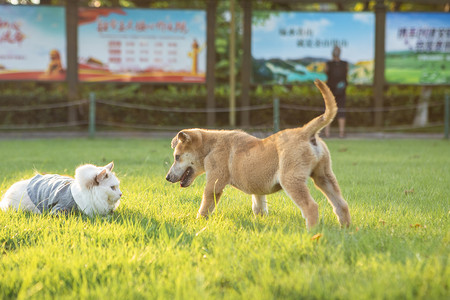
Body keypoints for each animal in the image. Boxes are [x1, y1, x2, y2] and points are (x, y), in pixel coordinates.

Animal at [166, 78, 352, 229]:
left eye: (177, 157)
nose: (167, 178)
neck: (210, 146)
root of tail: (305, 132)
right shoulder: (257, 189)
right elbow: (259, 207)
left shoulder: (214, 183)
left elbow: (205, 208)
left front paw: (197, 223)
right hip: (324, 177)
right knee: (341, 205)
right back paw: (346, 230)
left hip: (292, 180)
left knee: (311, 207)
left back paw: (312, 233)